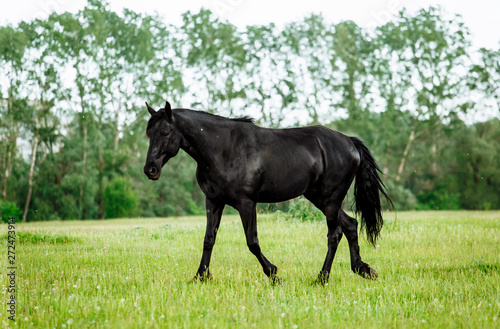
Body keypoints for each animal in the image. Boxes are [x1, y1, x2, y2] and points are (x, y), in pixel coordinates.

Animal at [143, 100, 392, 282]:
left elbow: (252, 241)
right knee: (350, 225)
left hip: (330, 199)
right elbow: (208, 239)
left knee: (334, 234)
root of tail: (349, 142)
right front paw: (200, 277)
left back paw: (322, 278)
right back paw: (362, 269)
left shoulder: (246, 203)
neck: (223, 149)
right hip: (319, 198)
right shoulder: (213, 201)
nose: (150, 169)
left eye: (165, 132)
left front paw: (273, 274)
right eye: (149, 133)